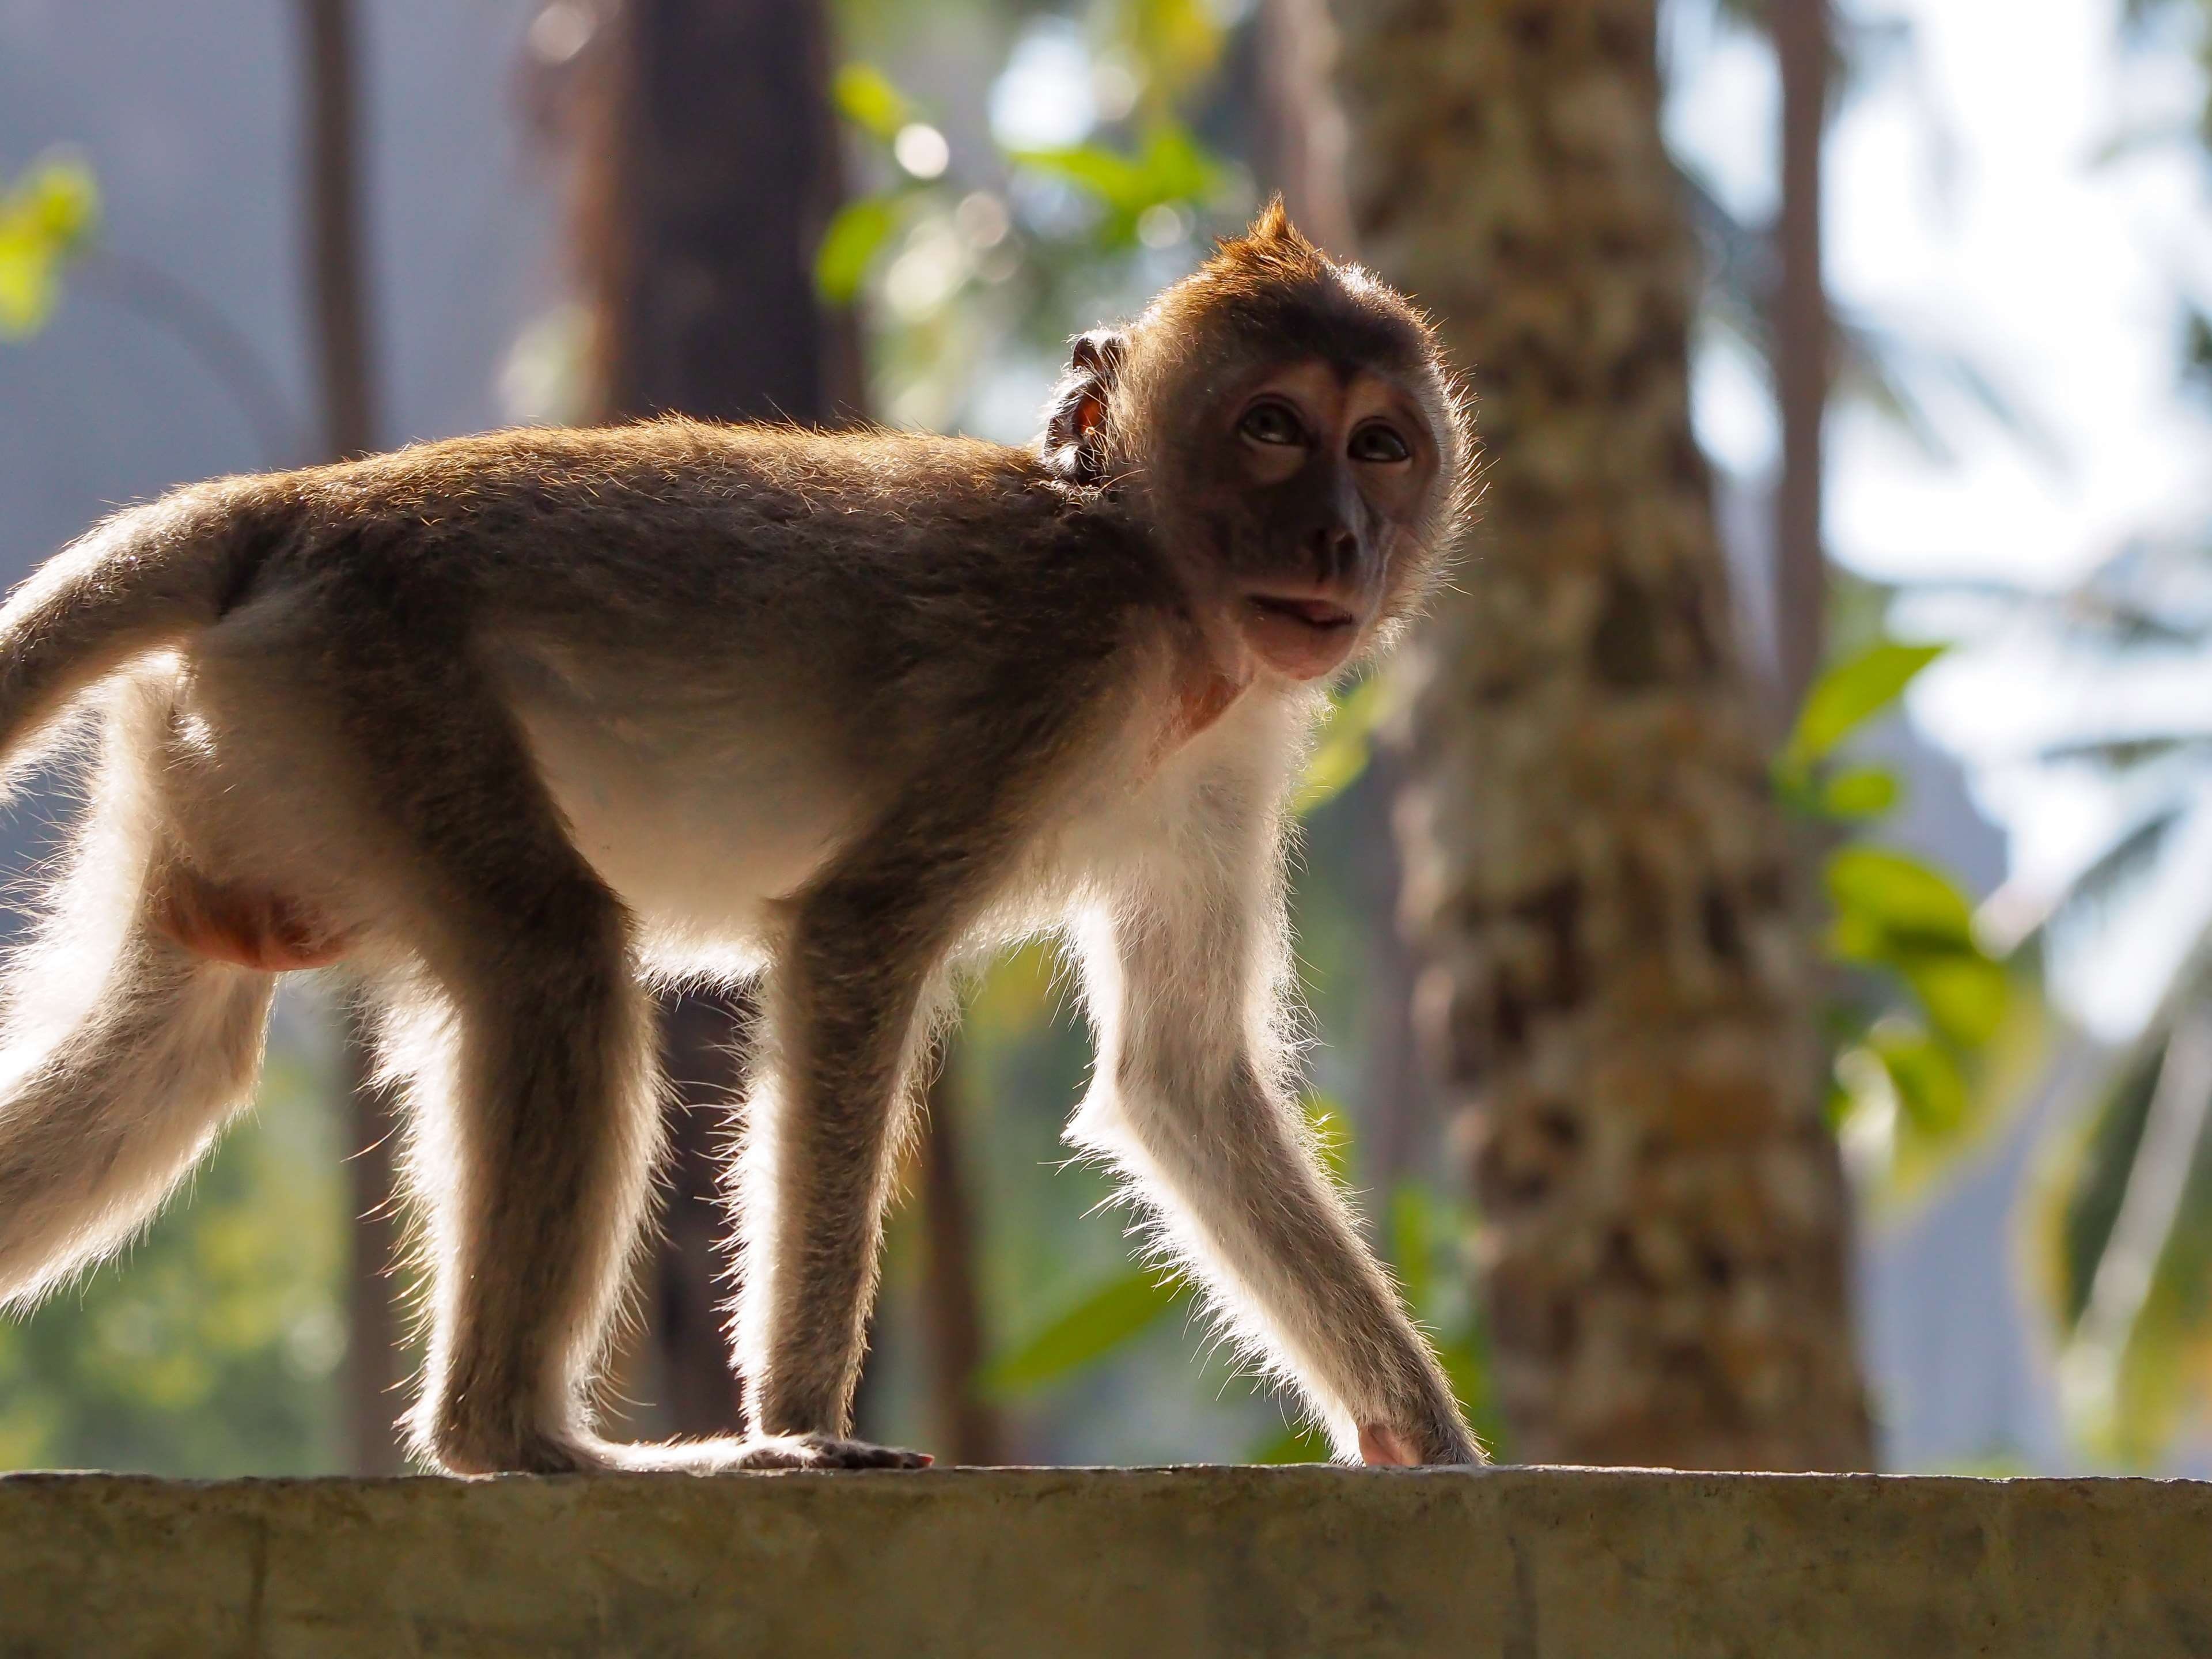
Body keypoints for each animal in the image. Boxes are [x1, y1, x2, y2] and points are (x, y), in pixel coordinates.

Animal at [0, 203, 1480, 1474]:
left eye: (1379, 446)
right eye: (1274, 427)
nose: (1339, 538)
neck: (1158, 578)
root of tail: (288, 510)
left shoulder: (1231, 763)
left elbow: (1182, 1079)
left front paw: (1428, 1439)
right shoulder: (1056, 660)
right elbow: (856, 938)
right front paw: (802, 1422)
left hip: (246, 757)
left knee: (170, 1056)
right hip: (382, 691)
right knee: (556, 960)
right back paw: (514, 1437)